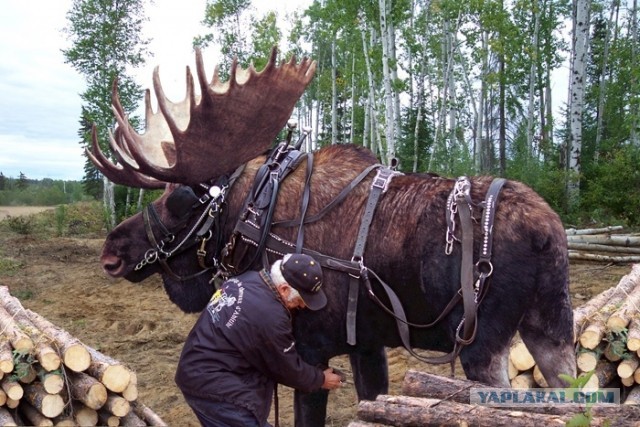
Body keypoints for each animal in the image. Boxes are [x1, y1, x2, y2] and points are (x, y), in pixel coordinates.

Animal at [88, 48, 576, 426]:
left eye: (179, 199)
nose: (111, 253)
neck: (254, 220)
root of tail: (548, 232)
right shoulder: (367, 345)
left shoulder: (310, 347)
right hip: (550, 324)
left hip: (482, 344)